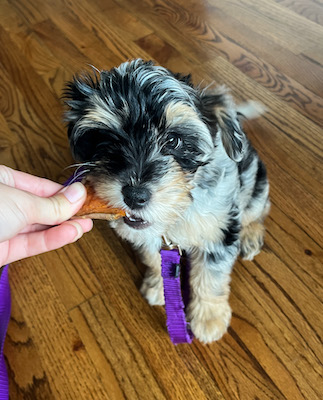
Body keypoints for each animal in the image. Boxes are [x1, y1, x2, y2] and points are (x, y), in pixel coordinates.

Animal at [64, 59, 270, 344]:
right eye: (108, 139)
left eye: (173, 140)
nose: (134, 195)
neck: (179, 211)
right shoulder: (149, 236)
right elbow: (153, 258)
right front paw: (157, 286)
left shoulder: (219, 230)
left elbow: (210, 277)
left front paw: (209, 318)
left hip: (255, 185)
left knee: (256, 211)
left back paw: (251, 236)